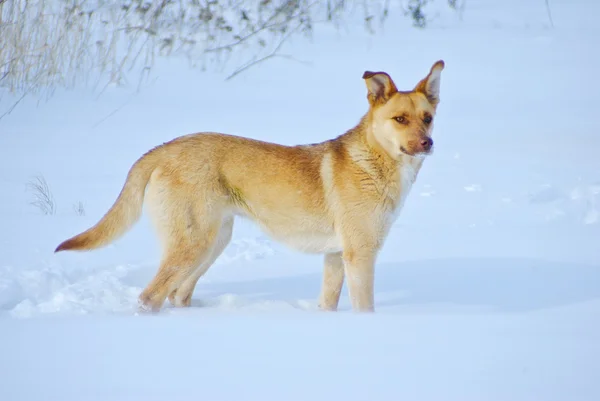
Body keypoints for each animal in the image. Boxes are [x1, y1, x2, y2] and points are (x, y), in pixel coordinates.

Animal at [54, 61, 442, 310]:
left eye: (427, 118)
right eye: (400, 119)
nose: (427, 144)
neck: (376, 161)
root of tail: (164, 148)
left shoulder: (335, 257)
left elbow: (328, 304)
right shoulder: (359, 255)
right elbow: (366, 309)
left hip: (213, 242)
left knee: (177, 295)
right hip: (194, 244)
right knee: (151, 297)